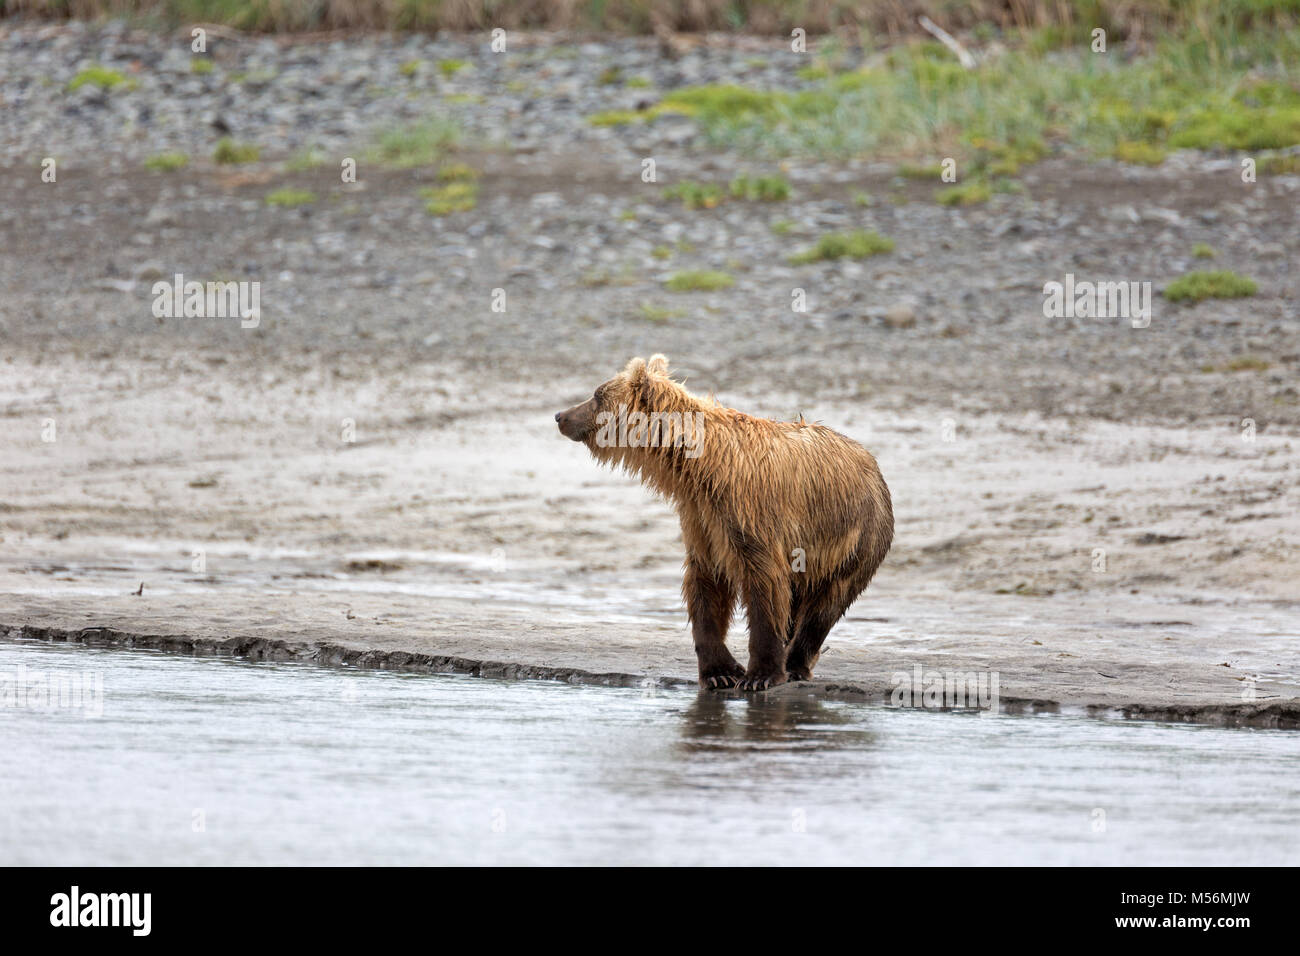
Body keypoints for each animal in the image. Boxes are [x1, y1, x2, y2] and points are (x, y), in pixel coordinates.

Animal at [553, 356, 889, 691]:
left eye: (597, 394)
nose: (560, 415)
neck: (699, 469)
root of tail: (871, 461)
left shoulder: (750, 512)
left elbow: (765, 584)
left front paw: (759, 675)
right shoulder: (702, 517)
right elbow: (706, 584)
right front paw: (720, 672)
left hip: (854, 538)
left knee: (825, 606)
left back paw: (795, 664)